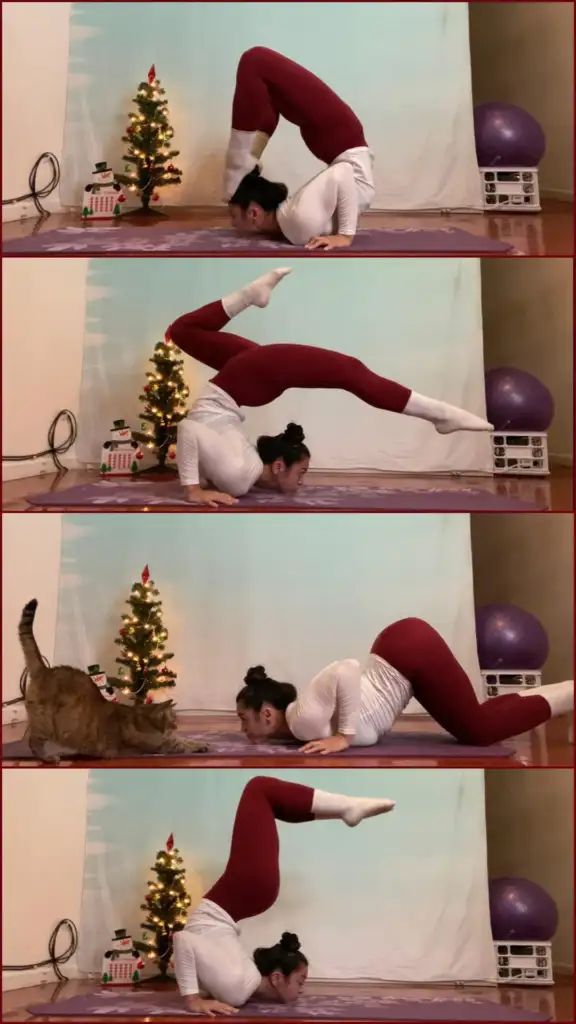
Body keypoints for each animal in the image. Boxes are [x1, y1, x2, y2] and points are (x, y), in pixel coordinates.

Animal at [19, 598, 207, 761]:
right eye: (174, 718)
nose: (177, 725)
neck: (142, 718)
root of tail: (44, 669)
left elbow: (185, 739)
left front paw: (199, 742)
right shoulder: (158, 745)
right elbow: (179, 744)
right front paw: (197, 744)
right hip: (45, 723)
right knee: (33, 742)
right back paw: (49, 757)